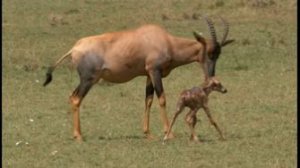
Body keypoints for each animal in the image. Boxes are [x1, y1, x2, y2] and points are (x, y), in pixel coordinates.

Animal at [42, 16, 234, 141]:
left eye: (219, 53)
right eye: (210, 52)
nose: (211, 76)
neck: (165, 40)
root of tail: (75, 48)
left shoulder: (148, 74)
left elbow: (148, 100)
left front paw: (148, 133)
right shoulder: (155, 71)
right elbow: (162, 99)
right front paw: (169, 133)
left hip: (87, 80)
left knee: (72, 96)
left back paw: (76, 134)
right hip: (88, 79)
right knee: (76, 98)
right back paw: (79, 136)